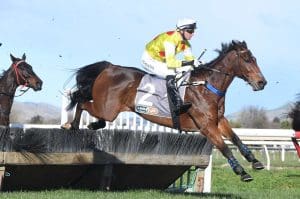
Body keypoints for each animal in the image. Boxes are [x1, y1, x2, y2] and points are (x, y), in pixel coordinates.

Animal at [62, 39, 268, 181]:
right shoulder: (206, 126)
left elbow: (236, 138)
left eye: (255, 59)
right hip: (107, 108)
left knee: (87, 105)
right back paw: (72, 125)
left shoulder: (219, 120)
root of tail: (110, 67)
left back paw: (92, 125)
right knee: (80, 101)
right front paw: (241, 172)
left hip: (107, 109)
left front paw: (255, 161)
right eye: (247, 60)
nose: (262, 82)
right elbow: (224, 147)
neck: (206, 86)